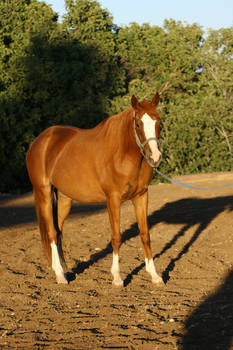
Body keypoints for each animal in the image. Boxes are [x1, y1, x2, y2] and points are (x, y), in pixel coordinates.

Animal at [26, 93, 162, 288]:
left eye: (159, 122)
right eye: (138, 124)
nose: (155, 157)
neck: (121, 153)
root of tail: (39, 141)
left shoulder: (141, 196)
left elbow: (145, 235)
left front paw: (155, 275)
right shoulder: (113, 199)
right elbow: (116, 237)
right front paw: (117, 278)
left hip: (65, 199)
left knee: (58, 231)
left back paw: (61, 269)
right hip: (43, 193)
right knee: (51, 233)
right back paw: (60, 275)